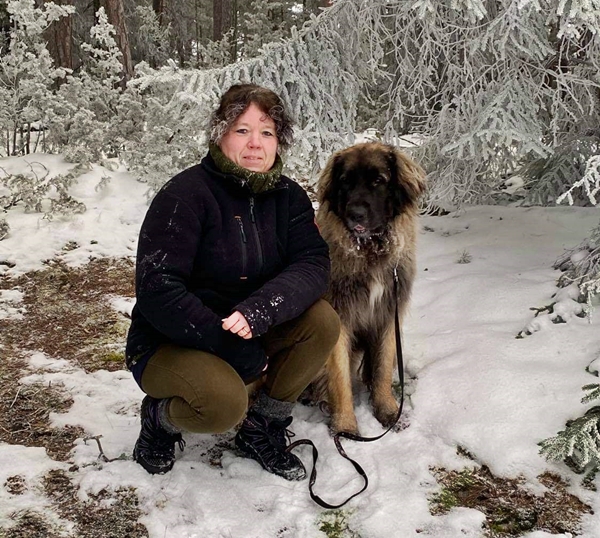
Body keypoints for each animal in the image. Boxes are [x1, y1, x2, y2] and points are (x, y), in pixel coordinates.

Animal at [314, 140, 426, 434]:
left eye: (378, 181)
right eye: (345, 182)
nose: (356, 214)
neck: (369, 253)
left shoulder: (388, 315)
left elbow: (383, 368)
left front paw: (387, 410)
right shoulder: (339, 318)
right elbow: (340, 376)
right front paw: (345, 425)